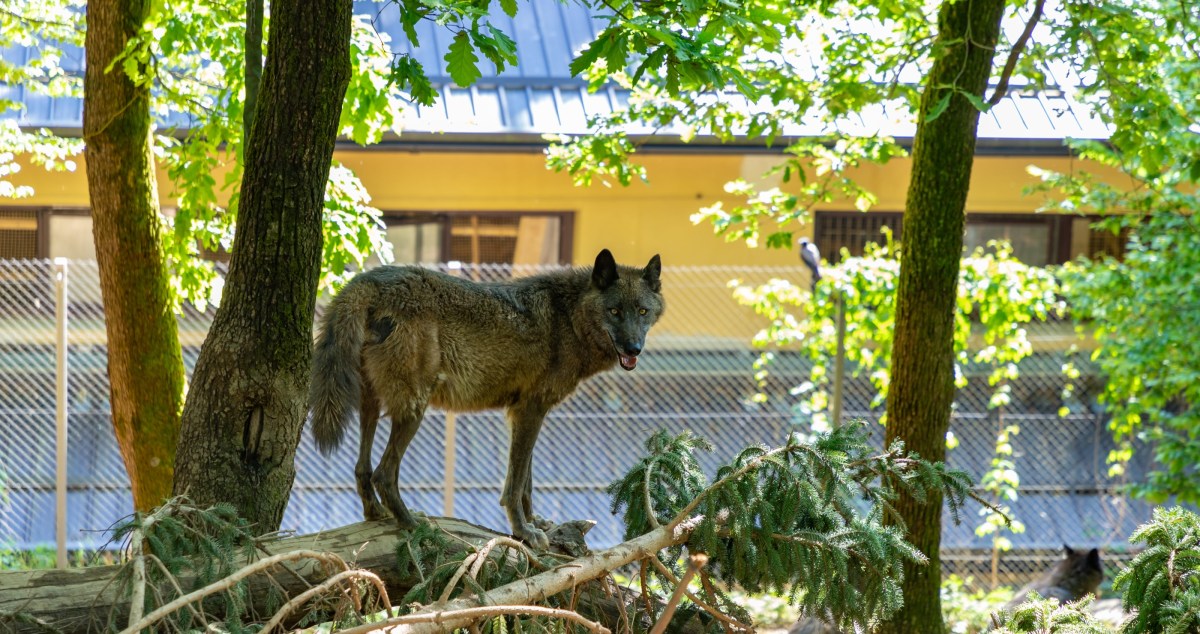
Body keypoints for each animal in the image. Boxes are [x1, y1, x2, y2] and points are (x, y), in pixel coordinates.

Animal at [308, 249, 664, 549]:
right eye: (614, 311)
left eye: (642, 311)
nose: (634, 349)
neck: (567, 318)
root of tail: (368, 280)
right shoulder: (531, 410)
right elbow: (514, 484)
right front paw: (523, 532)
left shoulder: (524, 412)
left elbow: (526, 481)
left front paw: (535, 523)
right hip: (414, 409)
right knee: (384, 473)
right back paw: (414, 524)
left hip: (372, 404)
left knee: (362, 468)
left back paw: (377, 514)